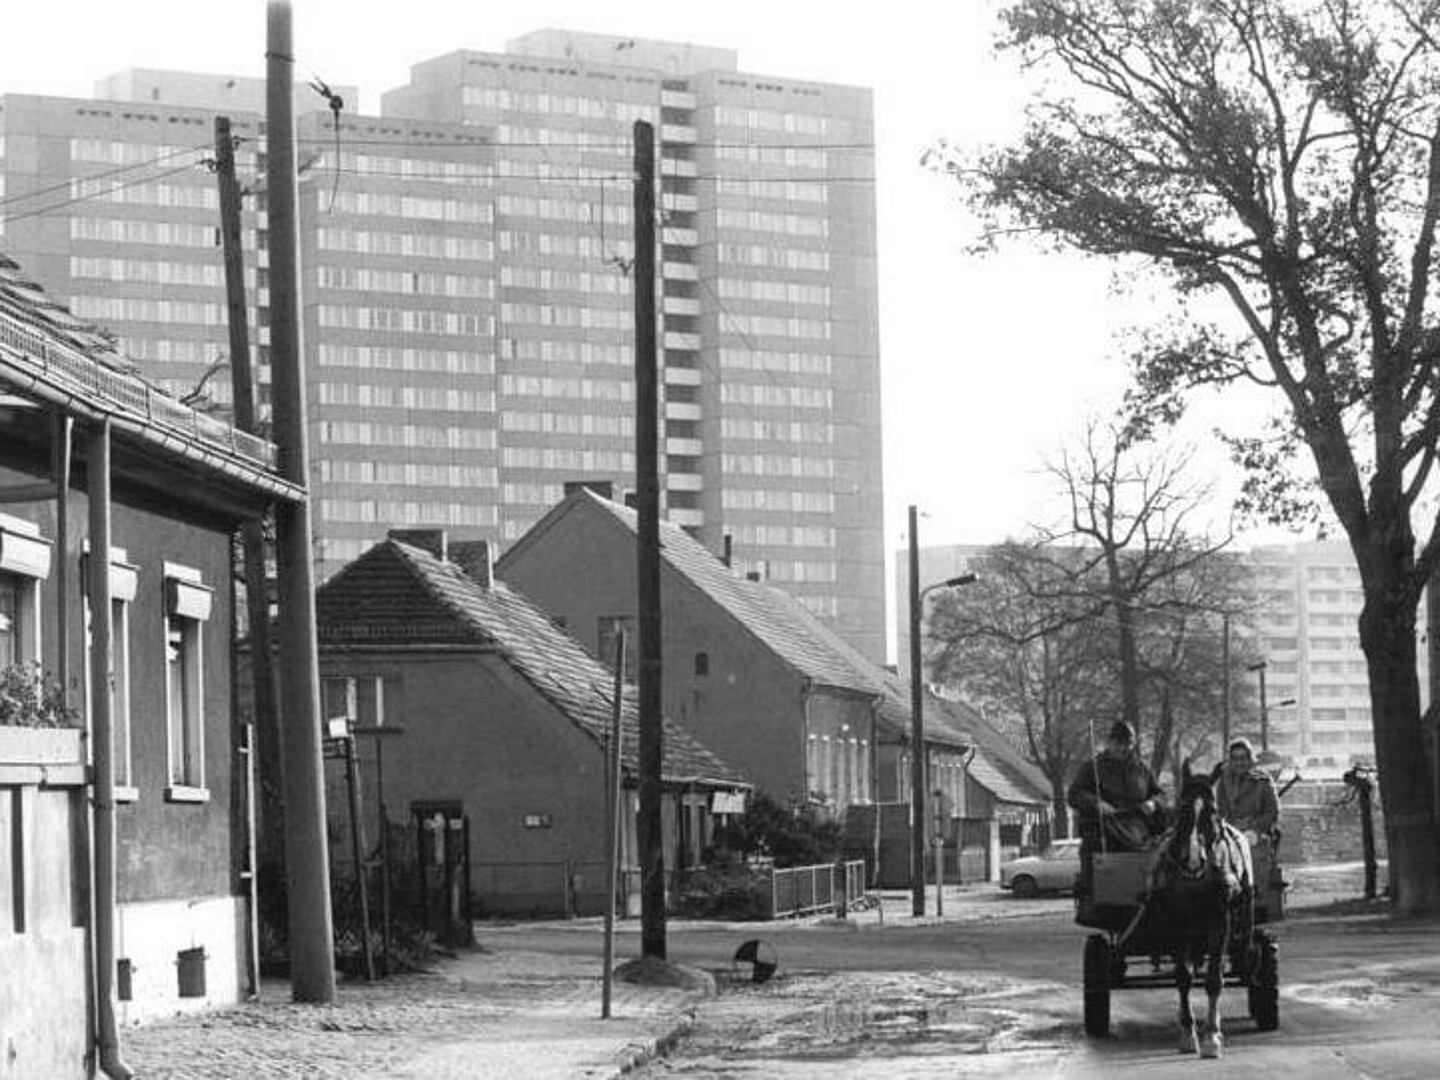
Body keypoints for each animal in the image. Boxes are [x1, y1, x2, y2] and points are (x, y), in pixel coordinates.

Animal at [1146, 766, 1249, 1059]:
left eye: (1212, 810)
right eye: (1182, 808)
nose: (1192, 861)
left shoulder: (1220, 920)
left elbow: (1214, 979)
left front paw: (1212, 1035)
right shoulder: (1177, 923)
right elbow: (1183, 977)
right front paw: (1187, 1033)